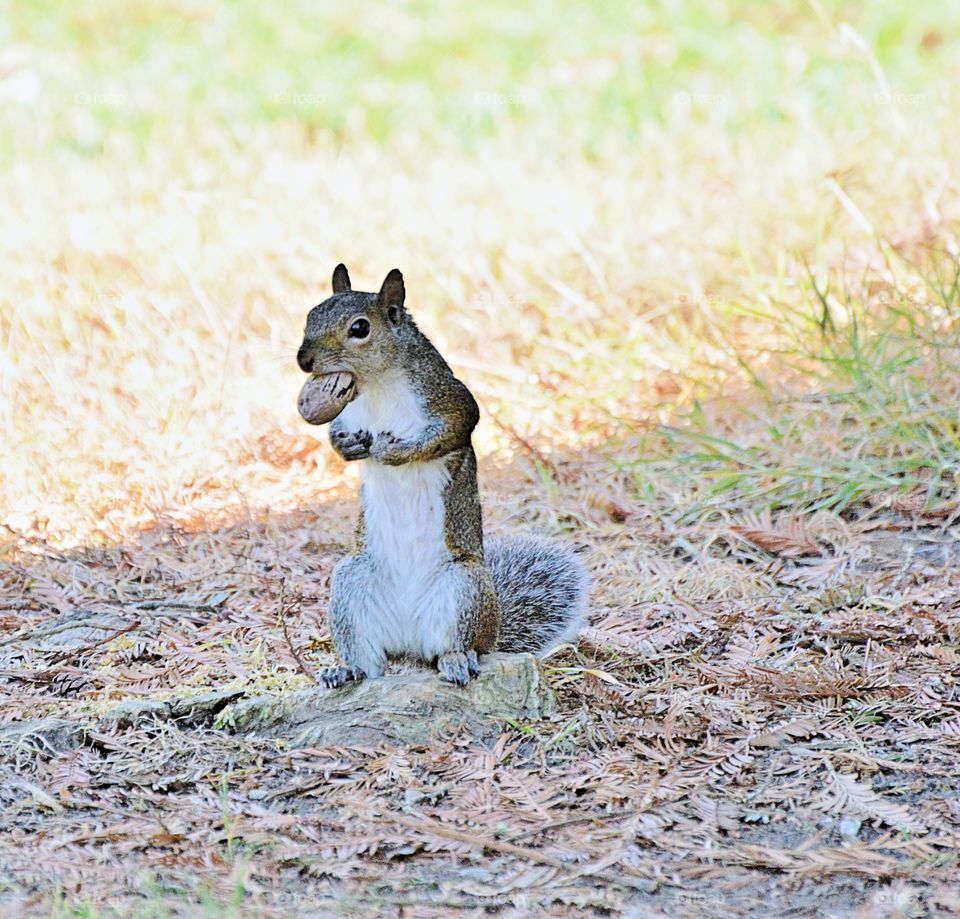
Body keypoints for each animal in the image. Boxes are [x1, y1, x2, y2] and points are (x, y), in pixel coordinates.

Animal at [296, 264, 589, 687]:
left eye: (359, 328)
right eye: (311, 314)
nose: (304, 360)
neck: (377, 384)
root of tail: (410, 645)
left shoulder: (449, 400)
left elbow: (453, 430)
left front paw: (395, 452)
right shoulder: (347, 417)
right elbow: (335, 437)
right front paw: (349, 448)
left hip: (463, 588)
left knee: (456, 647)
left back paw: (455, 661)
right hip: (353, 584)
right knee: (371, 662)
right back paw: (347, 670)